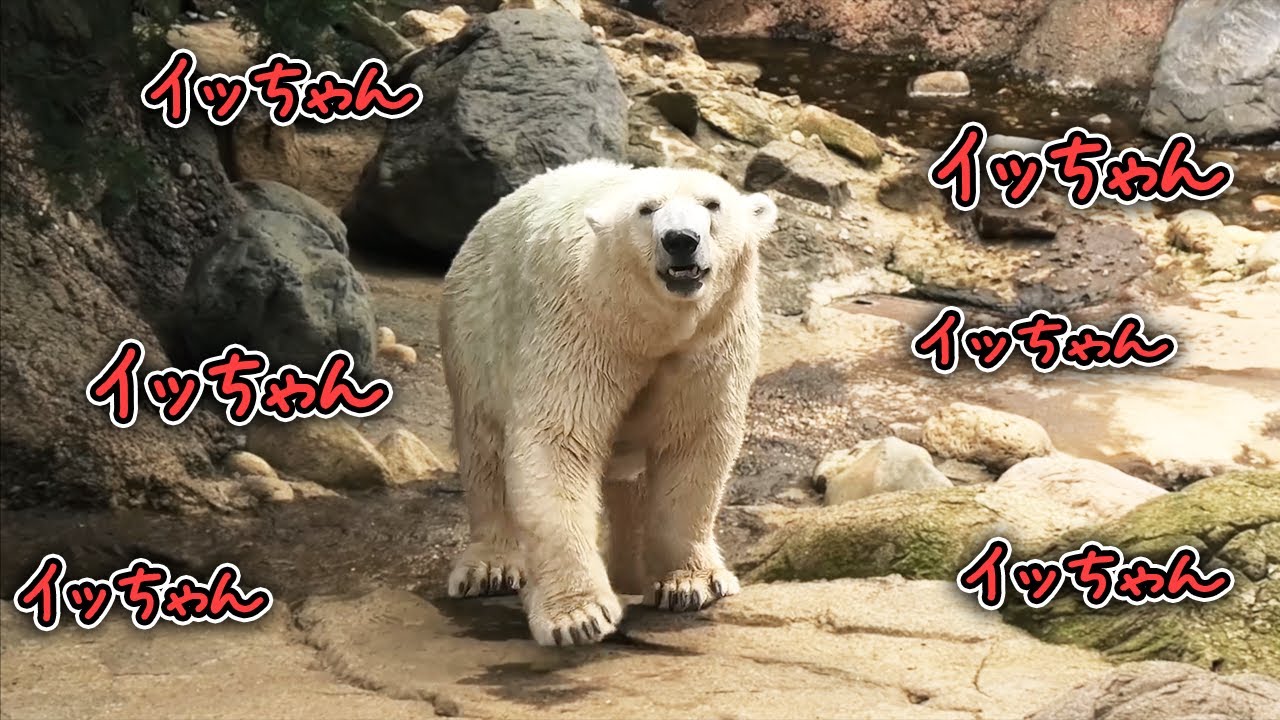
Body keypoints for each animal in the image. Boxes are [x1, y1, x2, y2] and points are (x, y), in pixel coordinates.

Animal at [439, 158, 778, 646]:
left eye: (712, 204)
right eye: (646, 209)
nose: (680, 240)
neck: (649, 325)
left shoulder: (709, 343)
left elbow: (693, 443)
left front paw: (689, 584)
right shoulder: (582, 324)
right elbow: (560, 440)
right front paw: (579, 617)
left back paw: (631, 573)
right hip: (474, 336)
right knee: (484, 450)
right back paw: (491, 568)